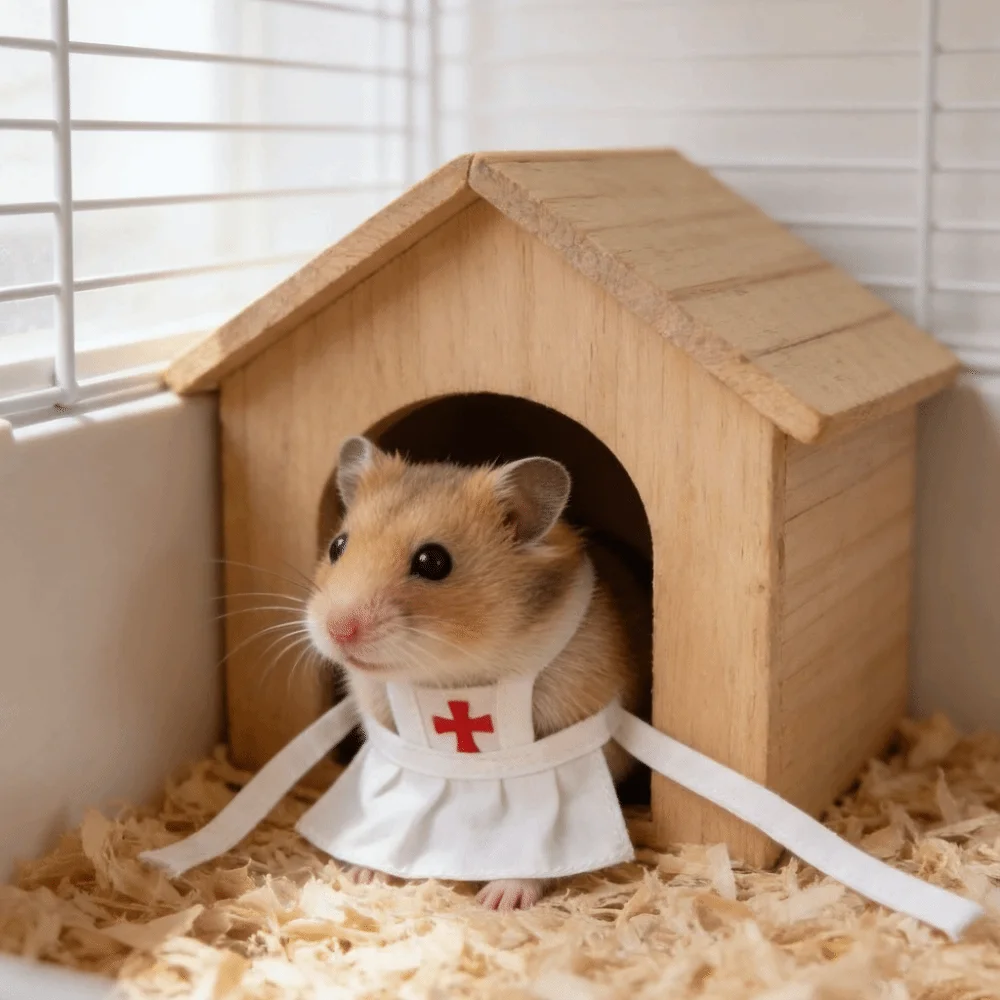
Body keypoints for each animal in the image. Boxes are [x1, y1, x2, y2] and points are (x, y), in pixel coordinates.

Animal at [305, 435, 651, 912]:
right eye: (337, 546)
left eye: (433, 561)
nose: (338, 630)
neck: (457, 672)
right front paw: (362, 874)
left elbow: (538, 844)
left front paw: (498, 901)